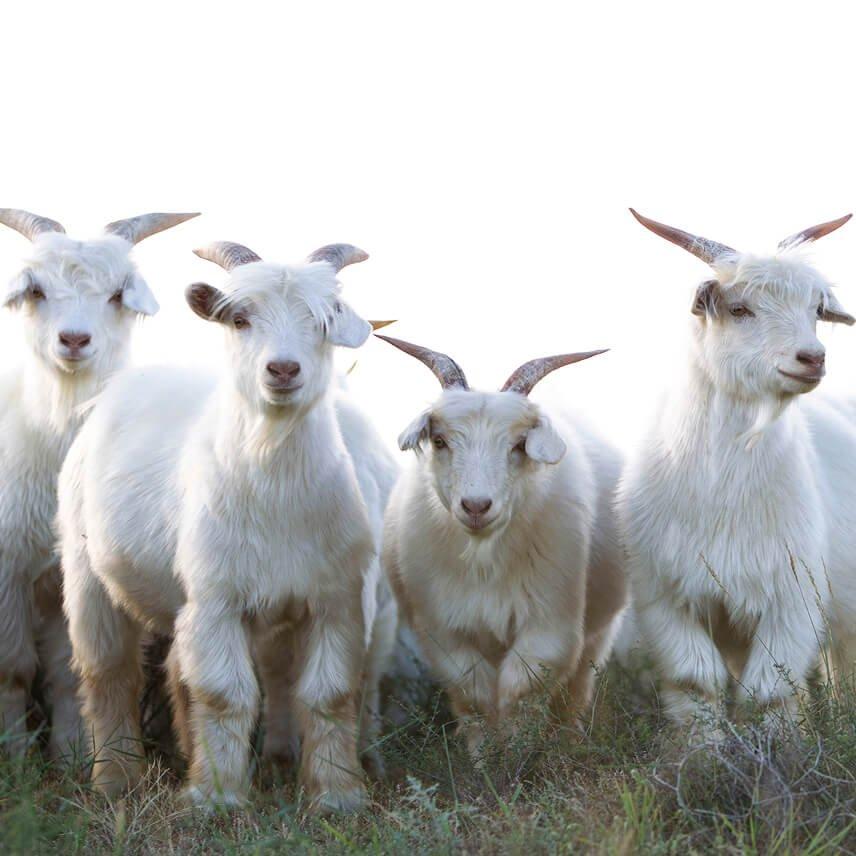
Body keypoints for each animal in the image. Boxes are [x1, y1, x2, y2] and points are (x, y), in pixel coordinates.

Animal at [0, 208, 197, 758]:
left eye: (115, 295)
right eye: (37, 290)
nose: (73, 340)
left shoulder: (63, 575)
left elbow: (68, 671)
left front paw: (70, 752)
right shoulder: (8, 571)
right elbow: (12, 670)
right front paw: (16, 756)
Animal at [58, 239, 397, 813]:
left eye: (324, 321)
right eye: (240, 319)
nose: (282, 369)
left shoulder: (338, 598)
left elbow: (330, 693)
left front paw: (336, 795)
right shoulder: (217, 596)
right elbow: (223, 693)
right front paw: (217, 798)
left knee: (184, 670)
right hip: (87, 571)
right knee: (109, 672)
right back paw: (116, 780)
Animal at [379, 336, 627, 759]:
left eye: (519, 444)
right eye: (440, 441)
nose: (477, 506)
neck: (484, 559)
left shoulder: (549, 624)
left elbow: (519, 691)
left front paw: (516, 756)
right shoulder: (444, 629)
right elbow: (474, 693)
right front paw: (484, 758)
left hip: (600, 630)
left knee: (576, 690)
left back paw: (568, 742)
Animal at [617, 209, 855, 732]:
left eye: (816, 309)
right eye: (740, 309)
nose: (813, 358)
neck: (723, 493)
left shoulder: (792, 600)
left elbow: (769, 693)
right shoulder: (667, 598)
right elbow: (696, 684)